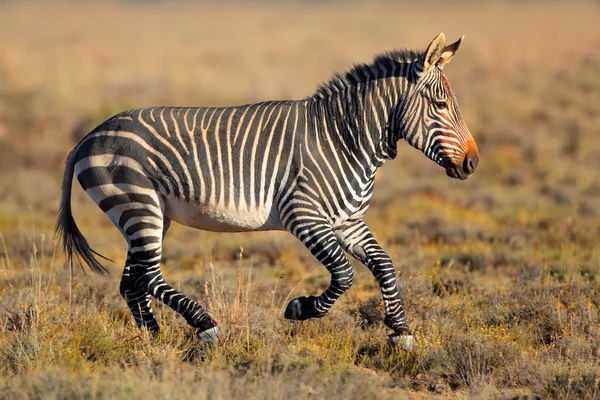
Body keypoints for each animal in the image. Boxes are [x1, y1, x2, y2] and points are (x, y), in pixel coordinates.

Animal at [56, 32, 478, 348]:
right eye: (440, 105)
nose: (473, 163)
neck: (343, 139)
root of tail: (89, 135)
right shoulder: (304, 216)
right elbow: (344, 274)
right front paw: (301, 308)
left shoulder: (348, 221)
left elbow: (385, 264)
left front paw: (401, 332)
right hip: (138, 205)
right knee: (147, 277)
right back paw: (204, 325)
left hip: (148, 215)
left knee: (133, 281)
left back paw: (154, 339)